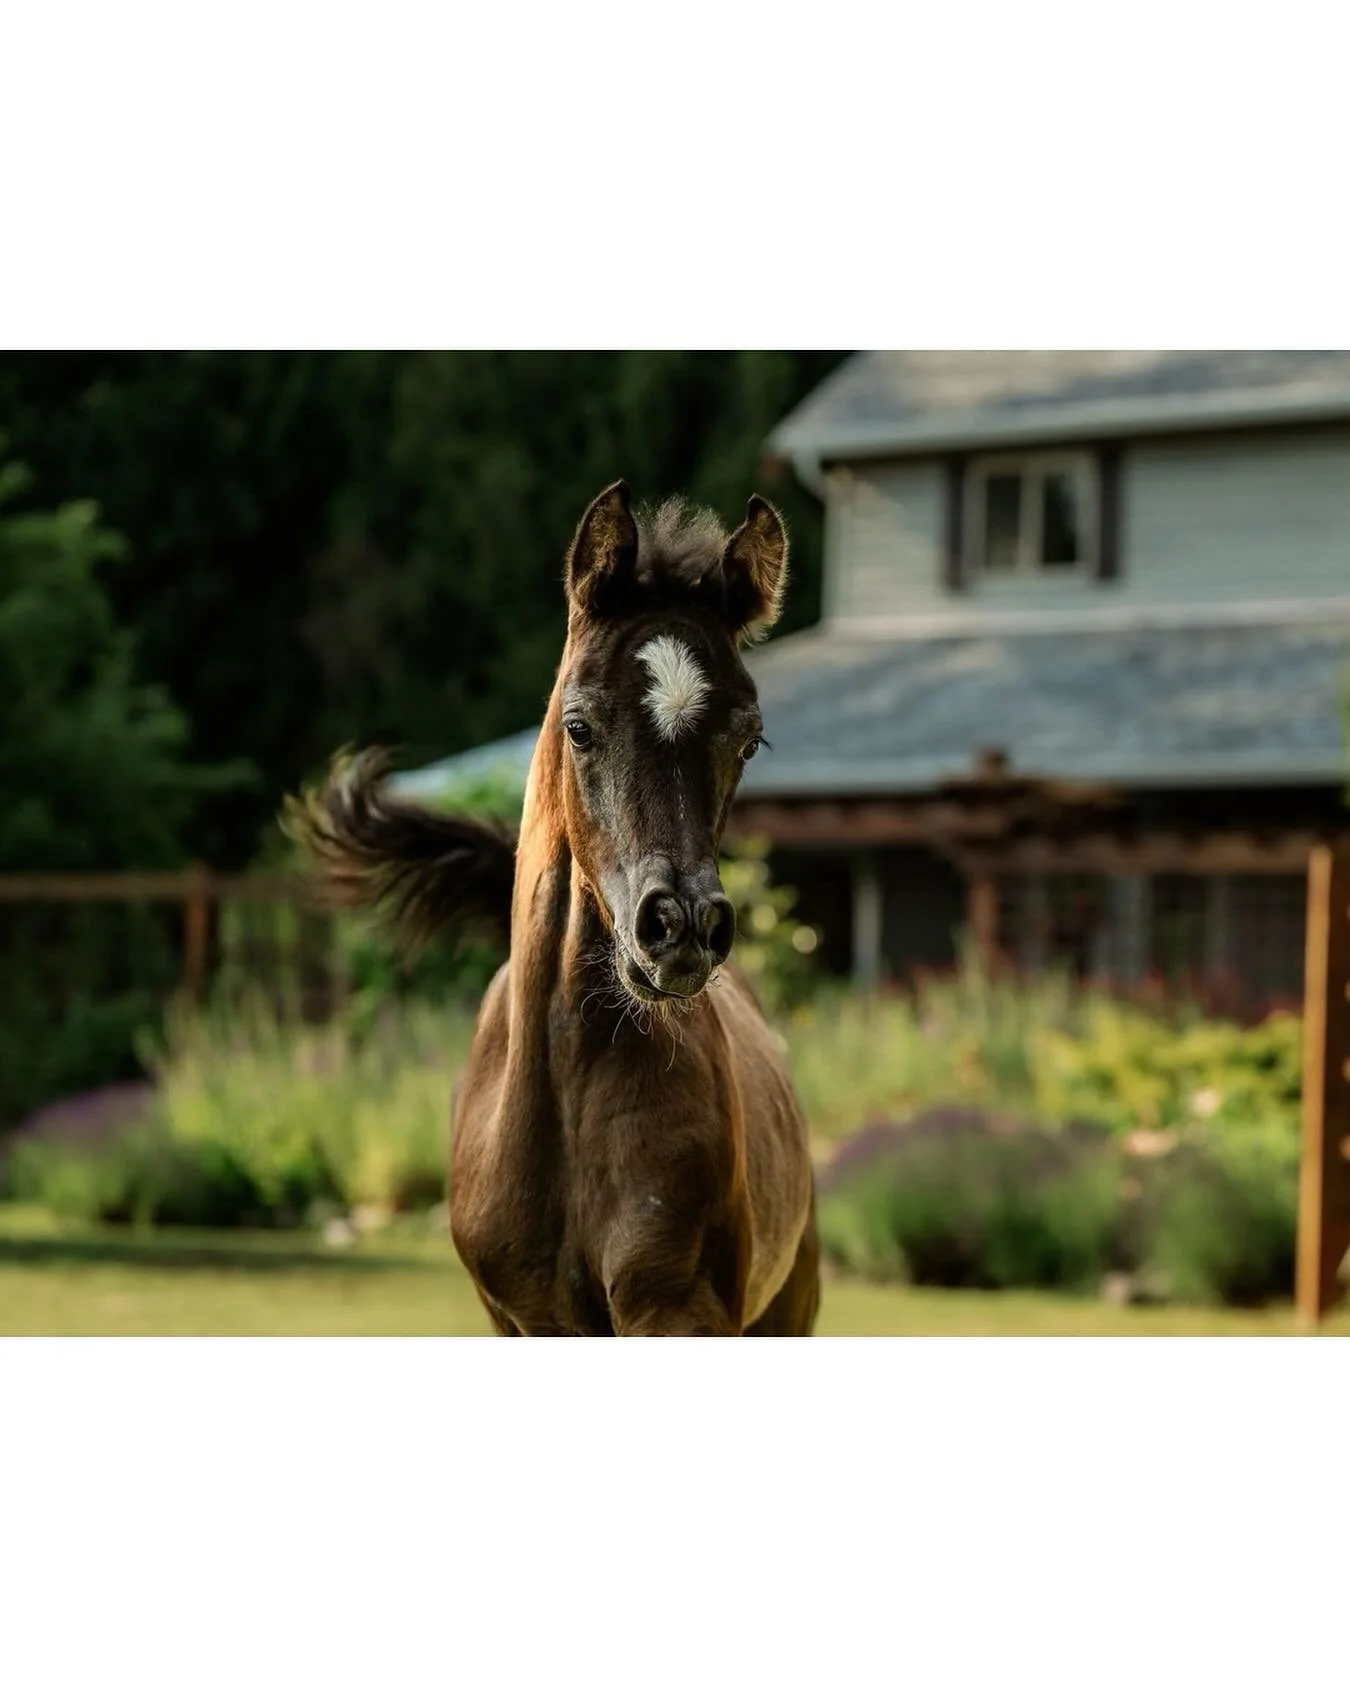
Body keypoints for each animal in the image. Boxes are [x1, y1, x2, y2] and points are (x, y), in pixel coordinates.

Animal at [285, 481, 820, 1336]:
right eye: (580, 726)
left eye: (750, 740)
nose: (683, 928)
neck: (568, 1097)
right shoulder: (528, 1318)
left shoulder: (679, 1307)